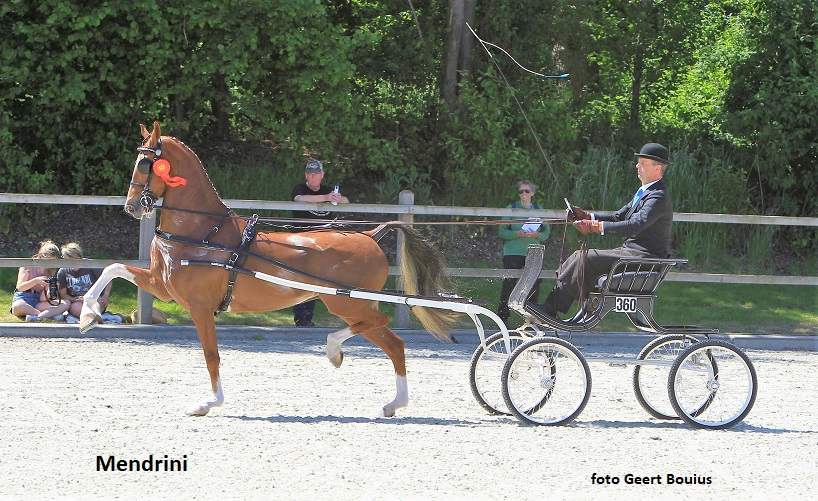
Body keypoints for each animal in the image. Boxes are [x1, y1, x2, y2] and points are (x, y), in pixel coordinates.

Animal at [79, 122, 458, 417]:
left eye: (146, 163)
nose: (131, 207)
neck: (203, 232)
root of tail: (369, 235)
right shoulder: (163, 287)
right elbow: (114, 268)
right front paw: (87, 314)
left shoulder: (199, 306)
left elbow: (212, 355)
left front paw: (209, 402)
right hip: (352, 305)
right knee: (394, 344)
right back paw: (393, 403)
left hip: (347, 302)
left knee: (379, 325)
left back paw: (334, 349)